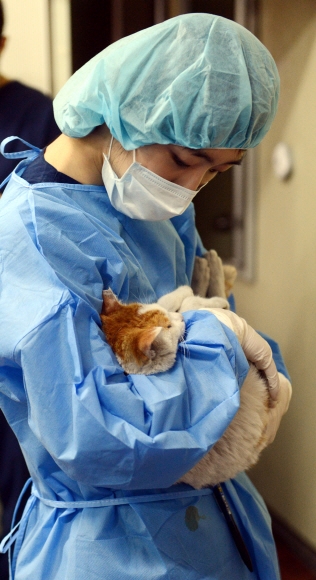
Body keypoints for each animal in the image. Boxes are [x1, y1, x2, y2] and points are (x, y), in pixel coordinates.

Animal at [100, 251, 270, 488]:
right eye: (169, 327)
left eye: (167, 320)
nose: (179, 319)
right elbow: (194, 304)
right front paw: (193, 296)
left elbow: (172, 301)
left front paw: (182, 293)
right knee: (222, 298)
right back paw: (212, 272)